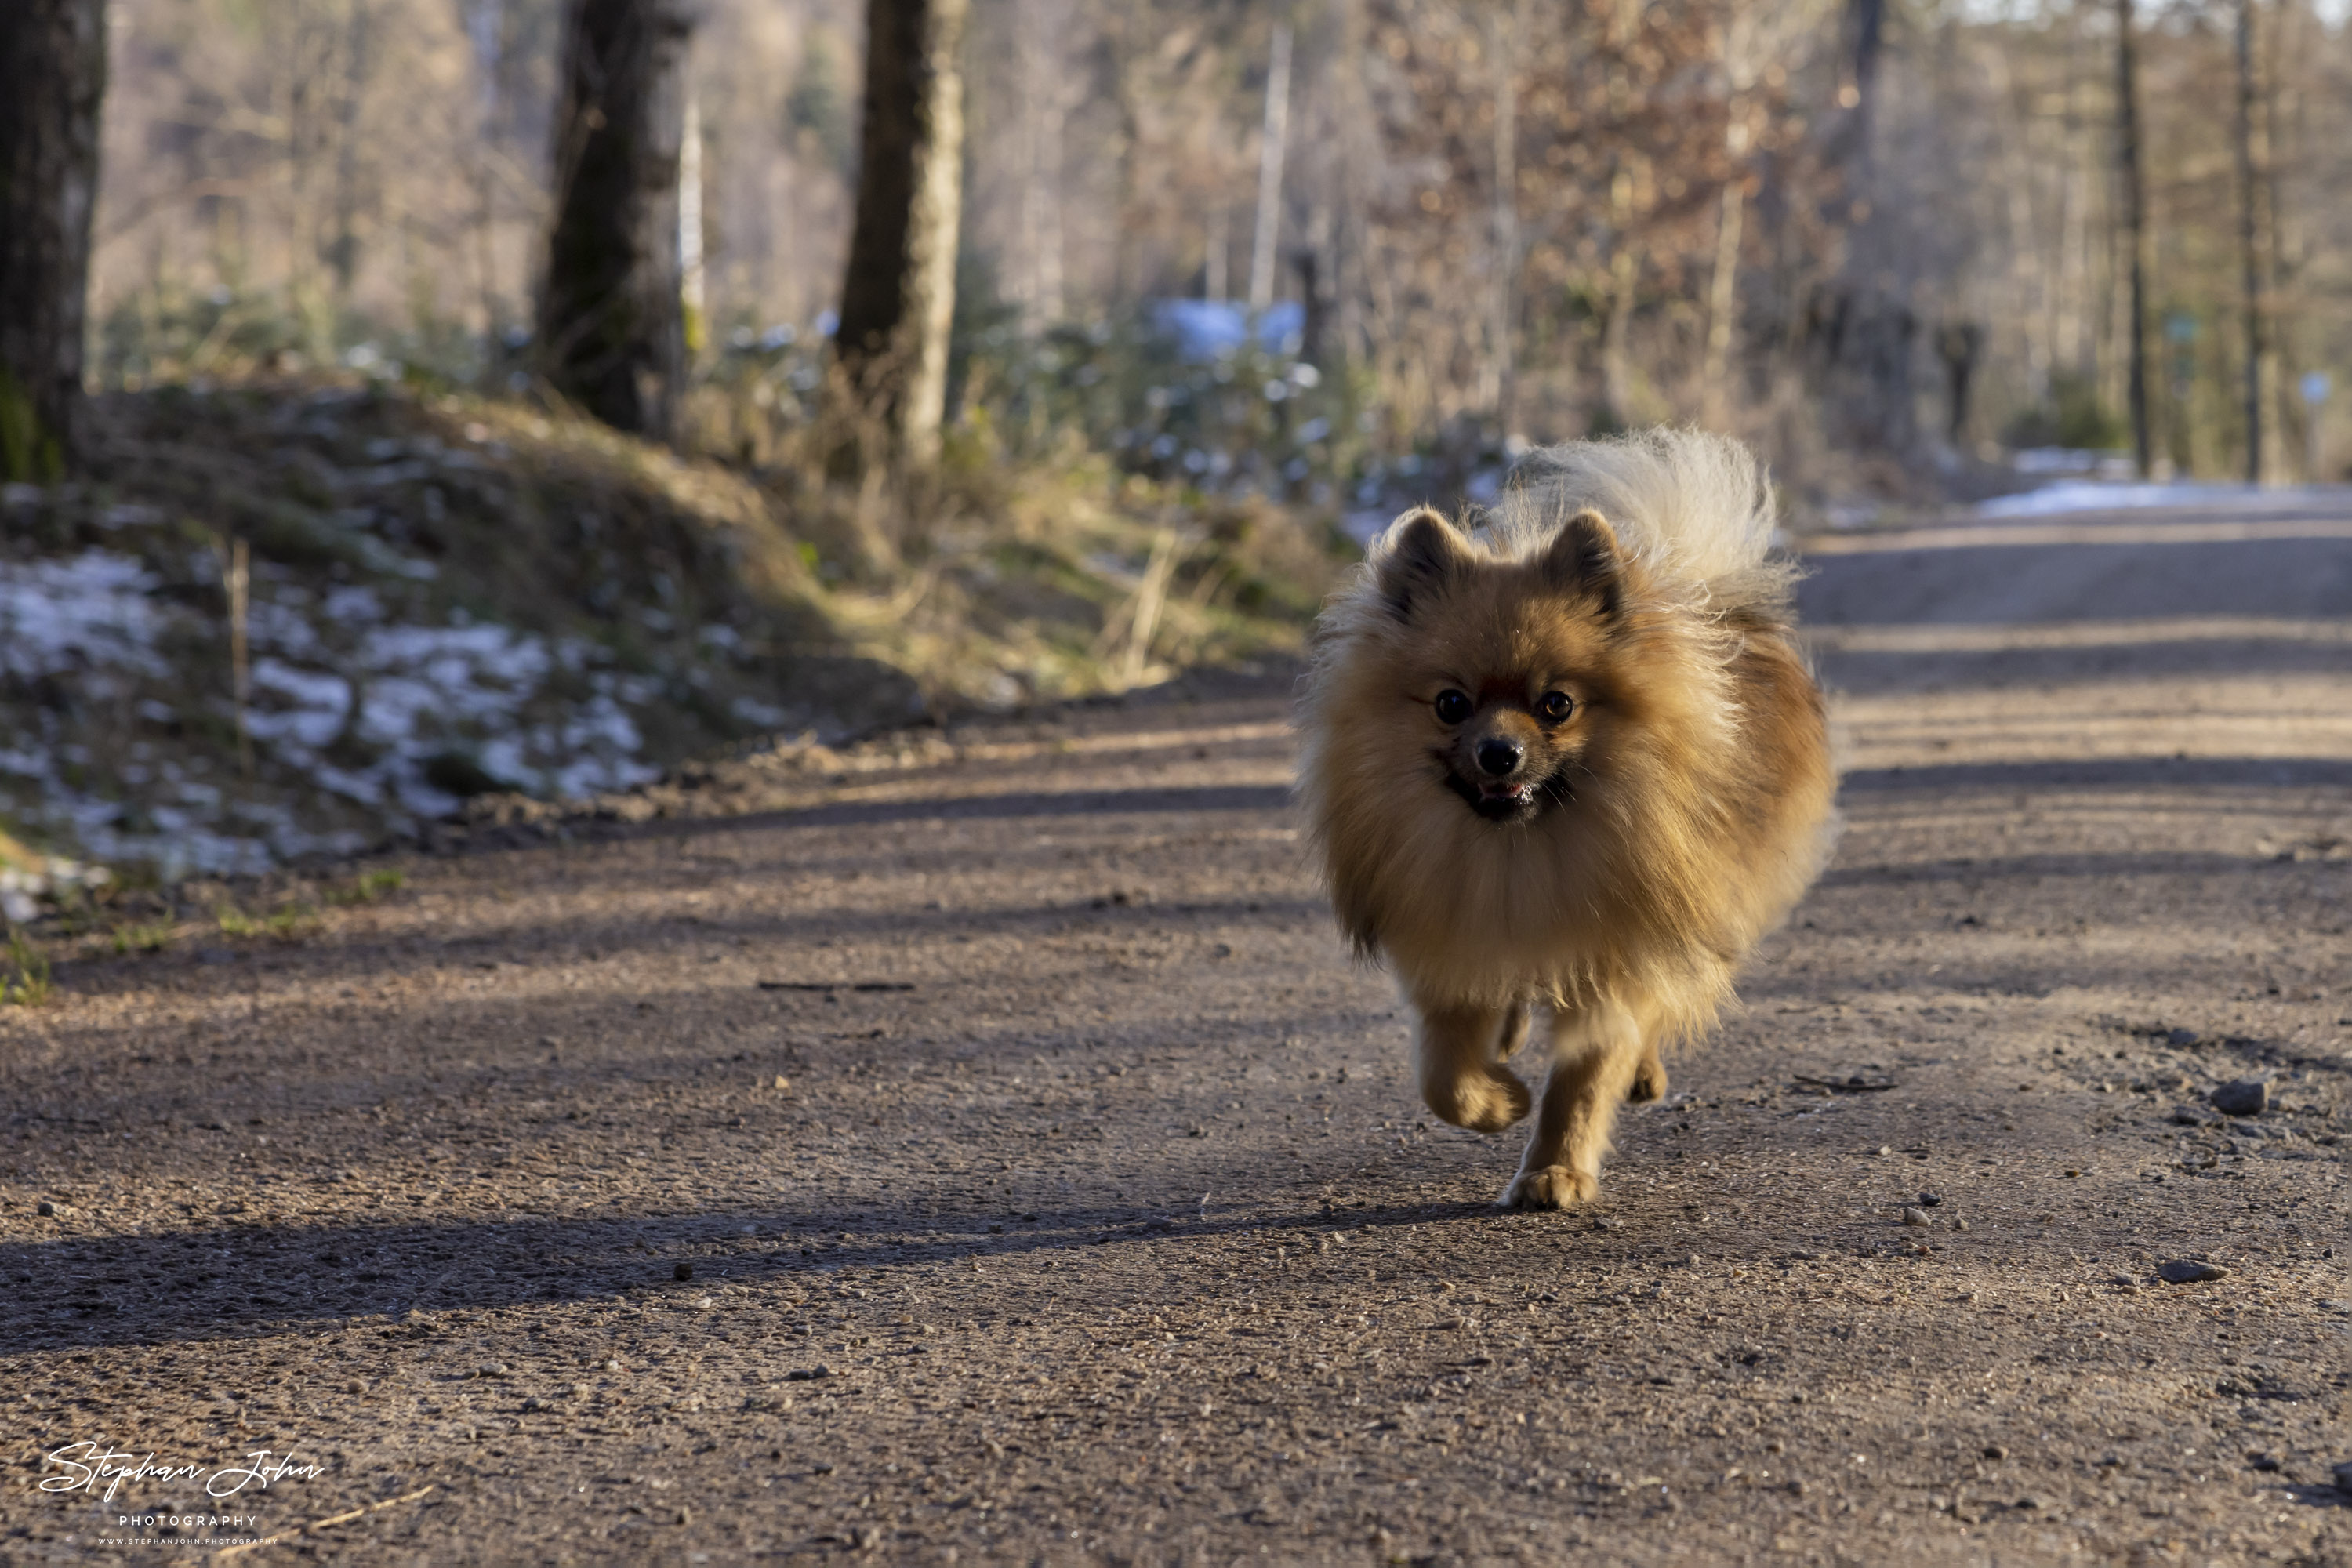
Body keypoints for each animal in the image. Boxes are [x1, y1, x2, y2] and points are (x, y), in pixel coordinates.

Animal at [1308, 423, 1835, 1213]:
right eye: (1451, 704)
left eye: (1556, 705)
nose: (1500, 753)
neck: (1520, 855)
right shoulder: (1447, 943)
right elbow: (1442, 1077)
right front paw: (1500, 1101)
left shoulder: (1618, 954)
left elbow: (1585, 1076)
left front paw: (1555, 1169)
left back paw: (1638, 1072)